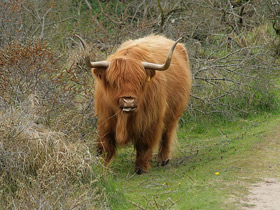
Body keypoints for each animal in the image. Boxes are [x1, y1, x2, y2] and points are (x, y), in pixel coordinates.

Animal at [75, 34, 191, 174]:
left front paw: (141, 168)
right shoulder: (105, 120)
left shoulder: (149, 121)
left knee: (166, 134)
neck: (123, 118)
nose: (128, 101)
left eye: (140, 82)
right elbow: (105, 145)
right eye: (115, 83)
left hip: (173, 114)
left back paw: (163, 160)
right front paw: (103, 168)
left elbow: (144, 145)